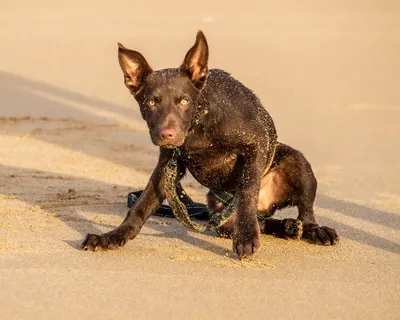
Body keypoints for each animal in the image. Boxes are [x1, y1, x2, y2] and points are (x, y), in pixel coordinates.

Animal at [81, 31, 338, 258]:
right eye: (151, 102)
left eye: (184, 101)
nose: (167, 135)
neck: (198, 122)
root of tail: (267, 205)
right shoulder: (167, 166)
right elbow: (140, 207)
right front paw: (112, 237)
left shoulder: (256, 145)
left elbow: (247, 189)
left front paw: (246, 236)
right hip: (217, 208)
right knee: (259, 223)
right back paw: (286, 227)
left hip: (298, 163)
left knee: (304, 210)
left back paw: (314, 230)